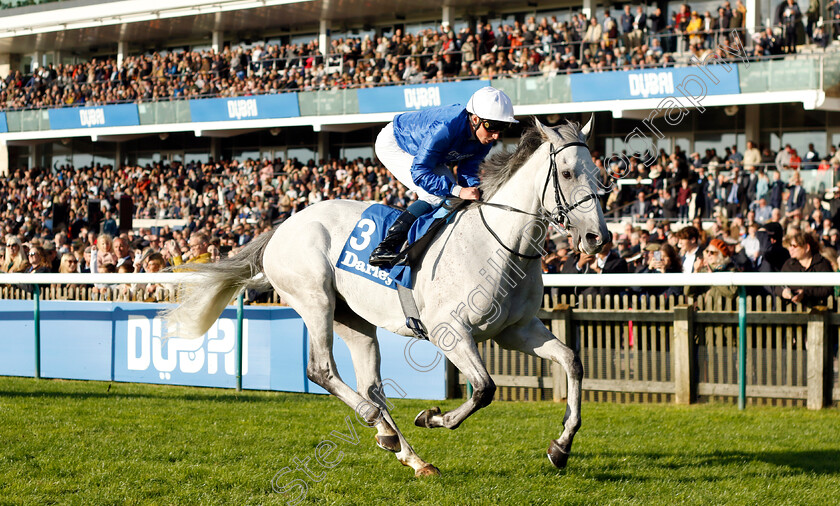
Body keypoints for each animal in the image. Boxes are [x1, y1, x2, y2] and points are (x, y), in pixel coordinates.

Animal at [162, 116, 612, 476]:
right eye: (567, 173)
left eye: (598, 171)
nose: (598, 238)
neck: (499, 243)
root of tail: (283, 225)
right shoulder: (451, 331)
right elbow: (484, 388)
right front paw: (433, 416)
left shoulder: (515, 330)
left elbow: (572, 361)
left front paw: (561, 446)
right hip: (315, 300)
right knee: (322, 371)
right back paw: (376, 422)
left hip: (355, 320)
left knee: (372, 387)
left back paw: (405, 451)